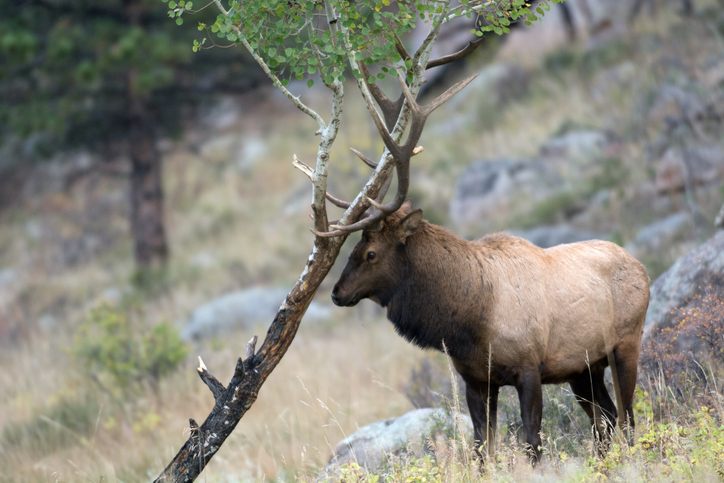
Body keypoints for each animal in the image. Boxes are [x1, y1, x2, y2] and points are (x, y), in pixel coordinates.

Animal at [330, 202, 648, 464]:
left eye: (370, 253)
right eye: (353, 250)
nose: (336, 293)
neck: (472, 318)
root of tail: (640, 266)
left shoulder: (528, 368)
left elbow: (531, 441)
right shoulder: (477, 380)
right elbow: (481, 448)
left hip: (626, 346)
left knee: (627, 417)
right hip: (583, 370)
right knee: (605, 420)